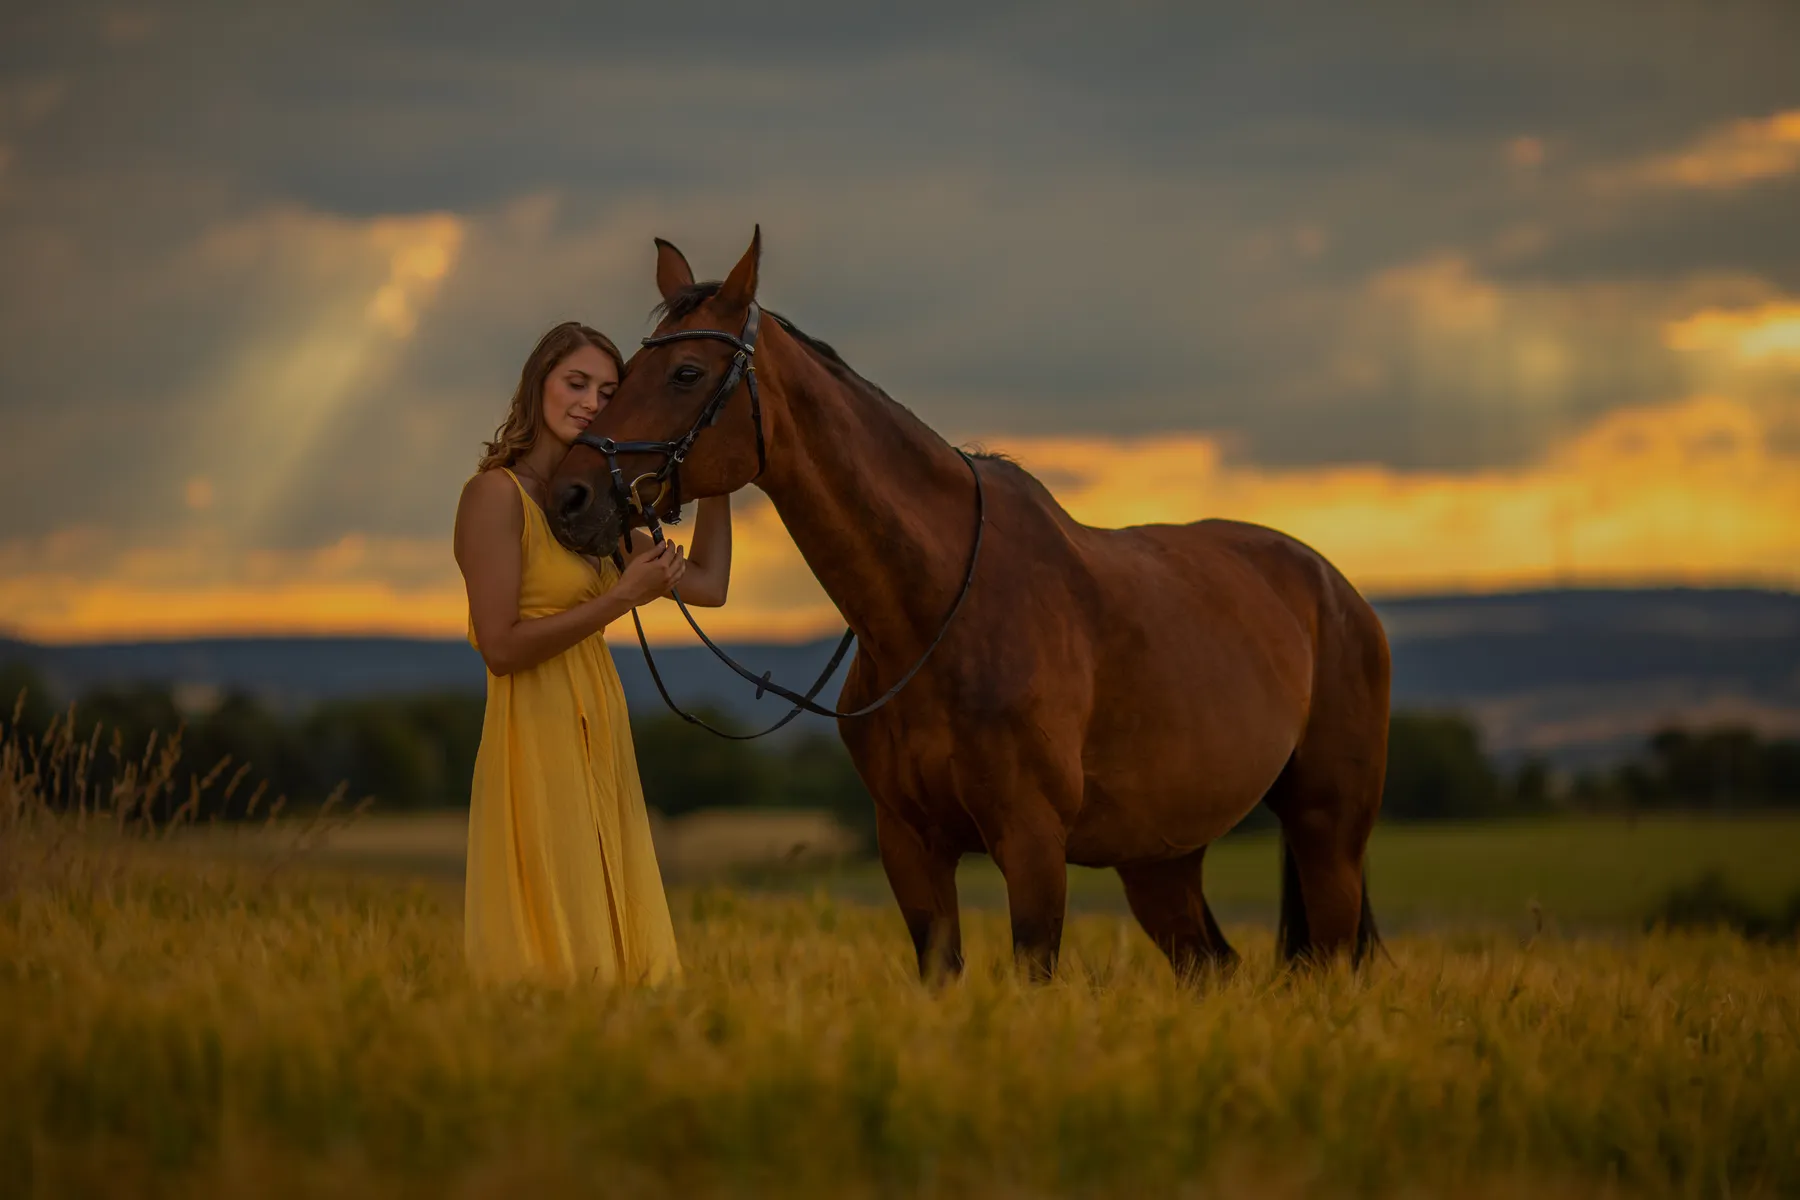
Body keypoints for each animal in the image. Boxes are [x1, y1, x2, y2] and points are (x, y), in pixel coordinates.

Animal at [548, 230, 1390, 982]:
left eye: (686, 372)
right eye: (619, 375)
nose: (569, 499)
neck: (938, 615)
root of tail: (1338, 592)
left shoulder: (1032, 843)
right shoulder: (909, 844)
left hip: (1328, 835)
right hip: (1162, 858)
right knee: (1212, 966)